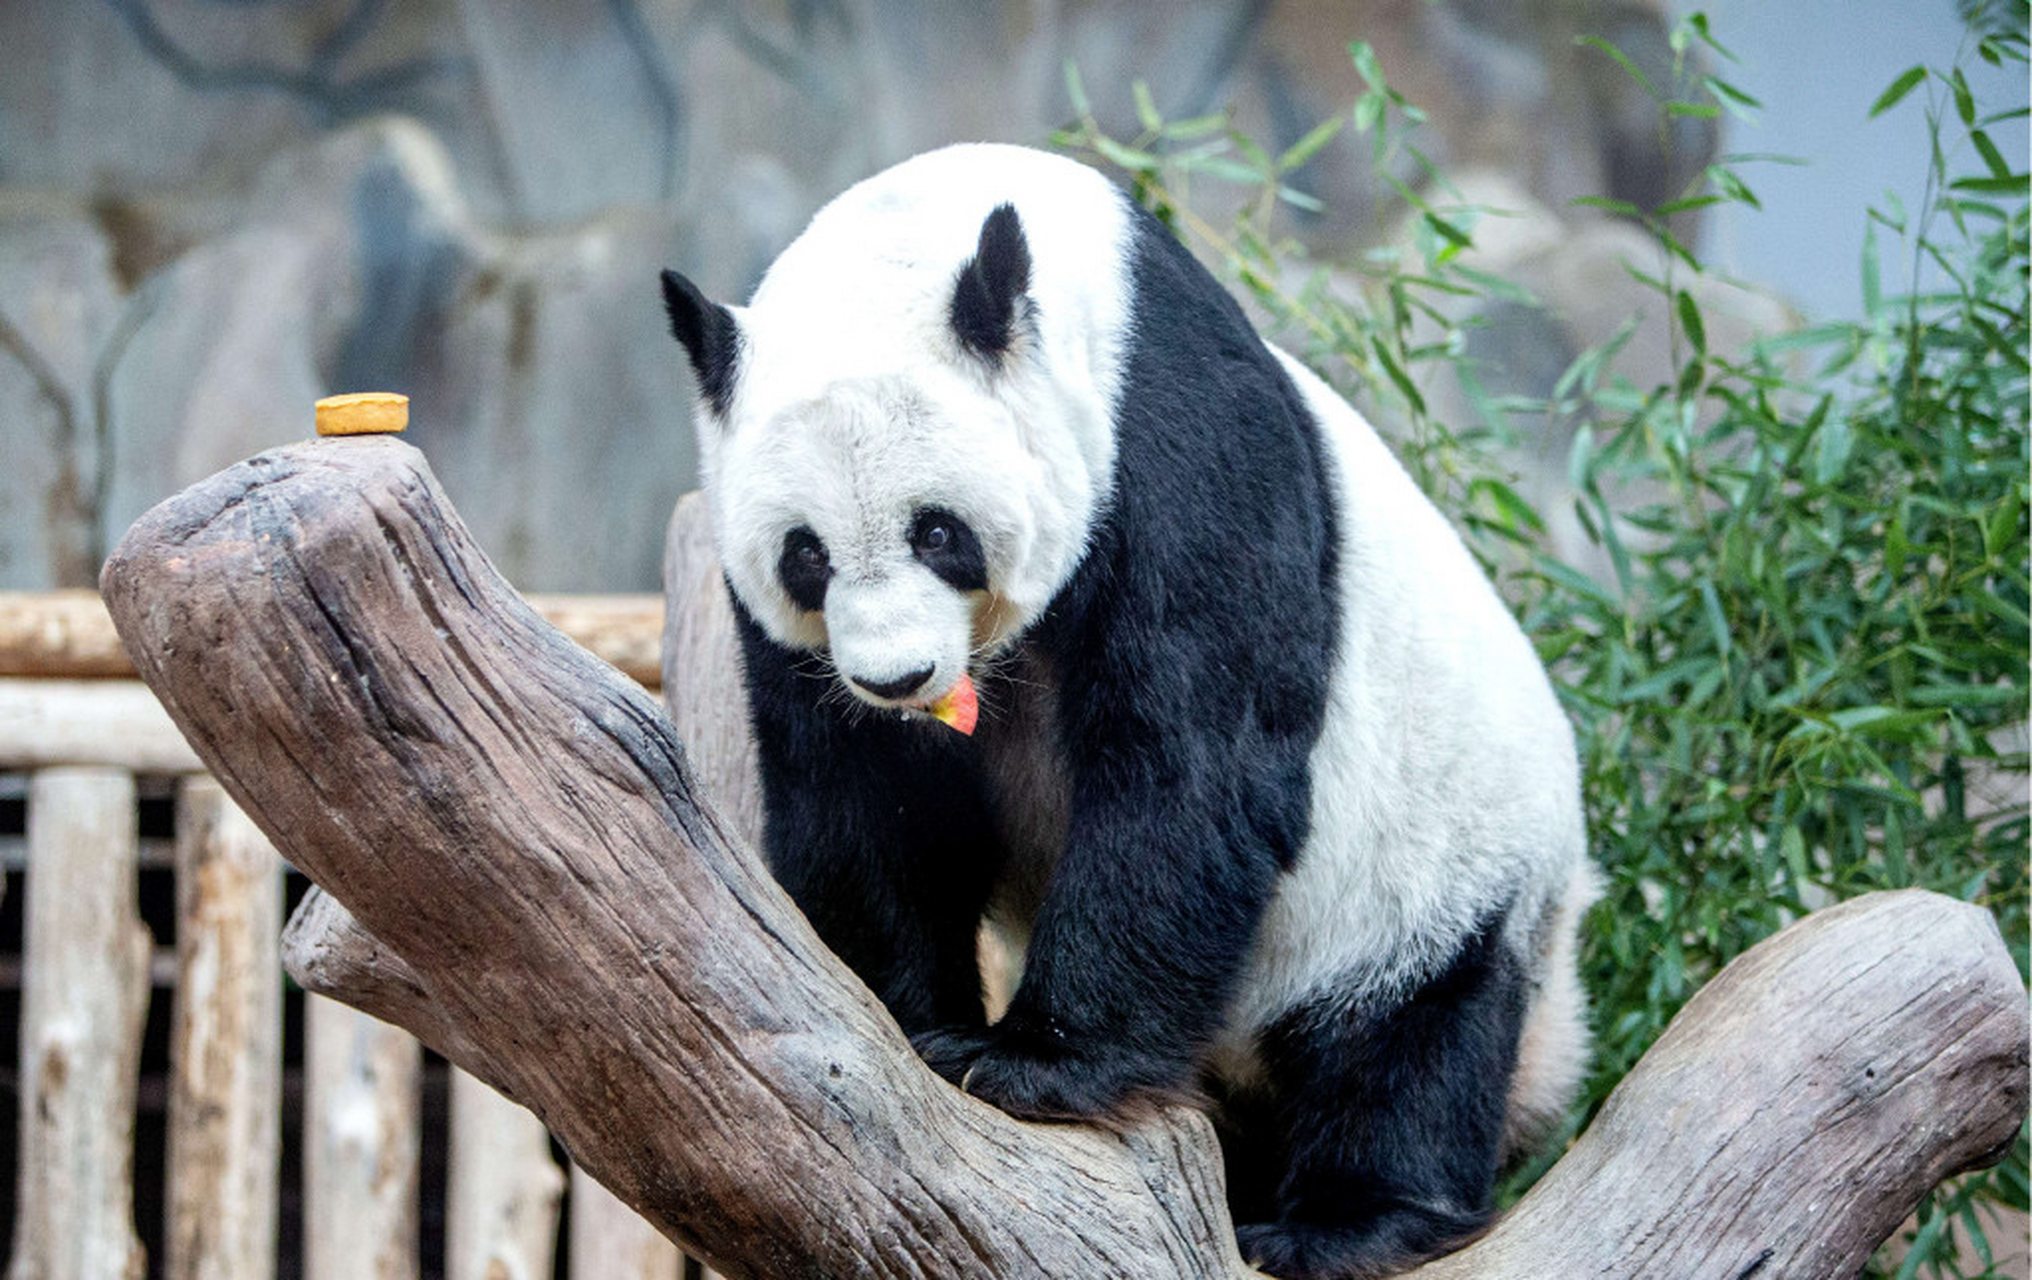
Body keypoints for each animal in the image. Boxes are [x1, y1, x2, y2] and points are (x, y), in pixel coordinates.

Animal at [658, 143, 1593, 1280]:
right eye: (805, 553)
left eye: (938, 531)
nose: (897, 677)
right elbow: (865, 795)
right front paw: (899, 1017)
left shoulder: (1179, 454)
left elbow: (1186, 766)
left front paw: (1029, 1060)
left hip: (1449, 859)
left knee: (1410, 1034)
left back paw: (1347, 1219)